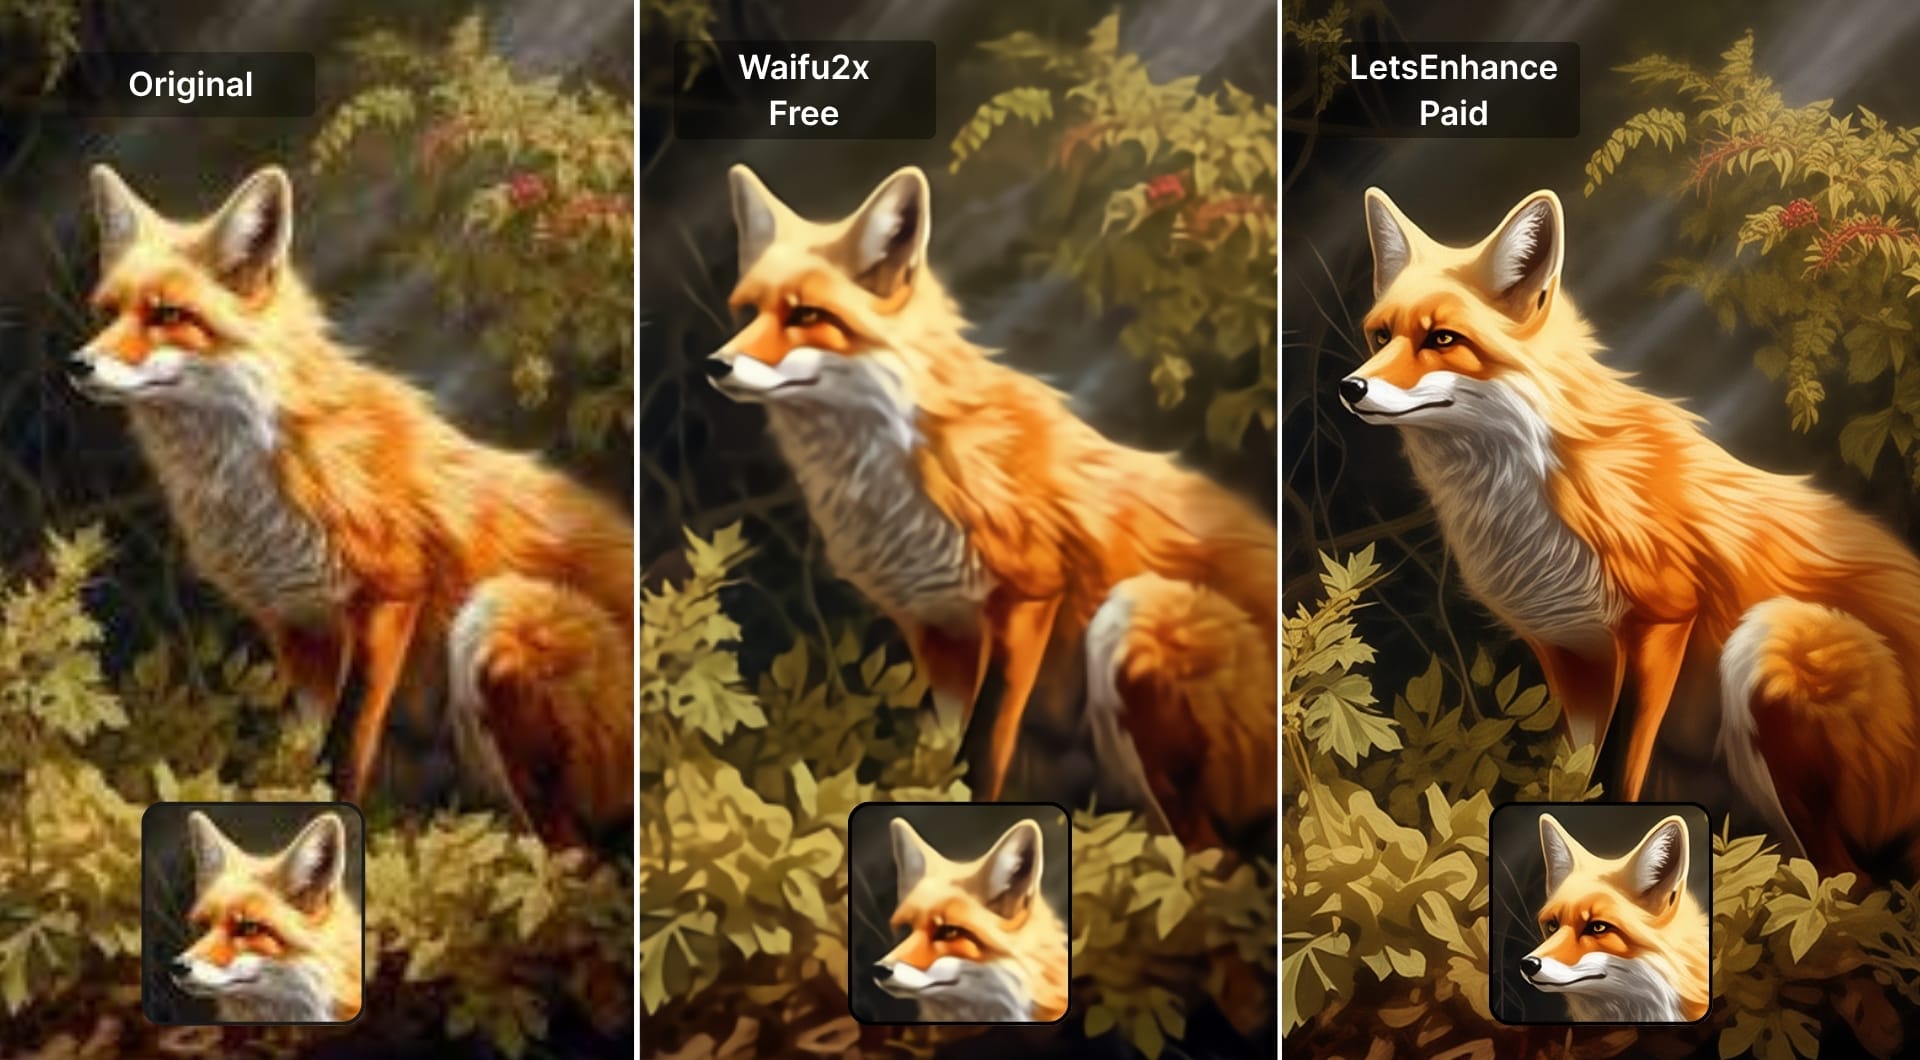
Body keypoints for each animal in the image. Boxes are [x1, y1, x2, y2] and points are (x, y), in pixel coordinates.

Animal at [72, 165, 633, 847]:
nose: (77, 365)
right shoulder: (293, 624)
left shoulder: (388, 593)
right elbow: (315, 741)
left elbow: (345, 749)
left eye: (168, 315)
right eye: (106, 313)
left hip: (498, 617)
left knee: (573, 849)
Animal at [709, 164, 1277, 848]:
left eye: (807, 315)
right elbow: (939, 754)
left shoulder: (1028, 599)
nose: (716, 365)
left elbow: (985, 757)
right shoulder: (937, 633)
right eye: (747, 312)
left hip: (1130, 619)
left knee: (1206, 849)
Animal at [1344, 186, 1920, 884]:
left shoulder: (1660, 622)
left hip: (1772, 646)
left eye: (1443, 339)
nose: (1350, 387)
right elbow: (1571, 780)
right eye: (1381, 335)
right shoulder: (1568, 653)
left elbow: (1622, 776)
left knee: (1850, 881)